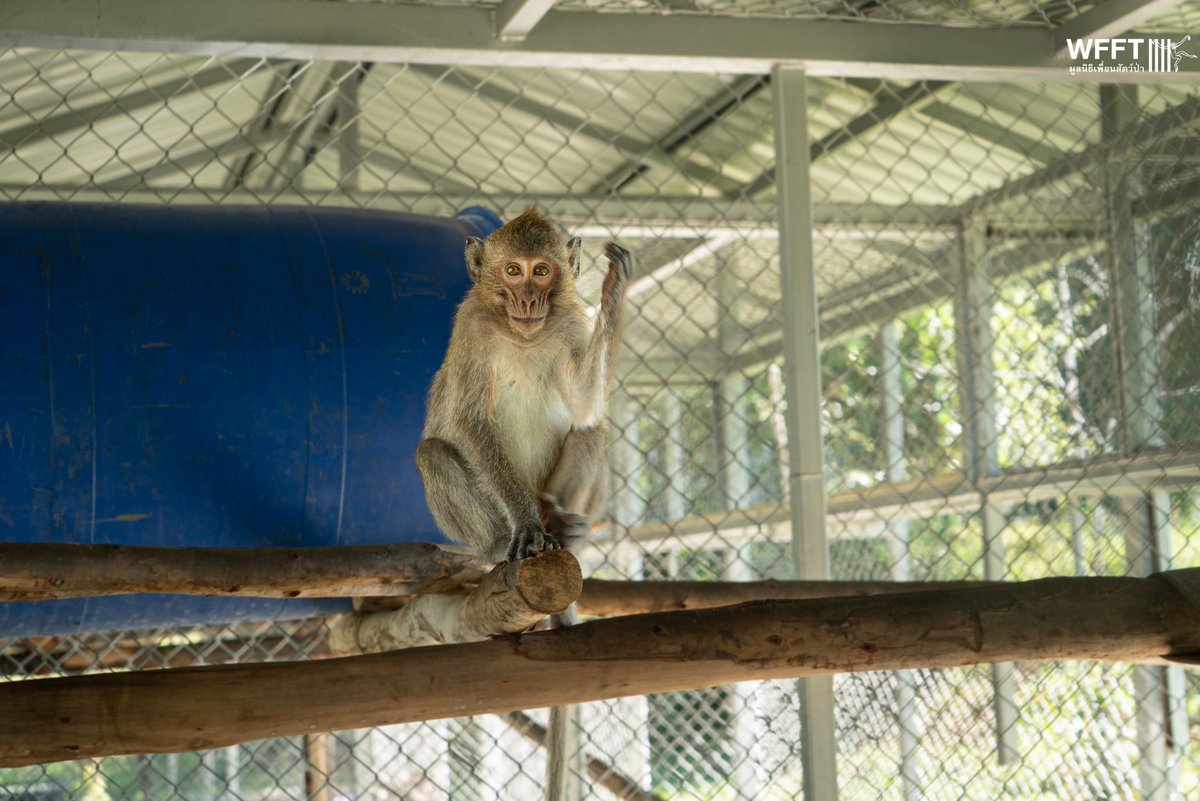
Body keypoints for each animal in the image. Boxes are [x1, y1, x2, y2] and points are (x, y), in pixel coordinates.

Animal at [416, 206, 632, 564]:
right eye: (514, 271)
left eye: (541, 271)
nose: (529, 301)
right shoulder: (471, 324)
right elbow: (469, 421)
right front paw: (526, 522)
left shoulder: (572, 323)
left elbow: (584, 403)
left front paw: (614, 284)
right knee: (433, 453)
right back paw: (501, 542)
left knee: (590, 433)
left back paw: (561, 528)